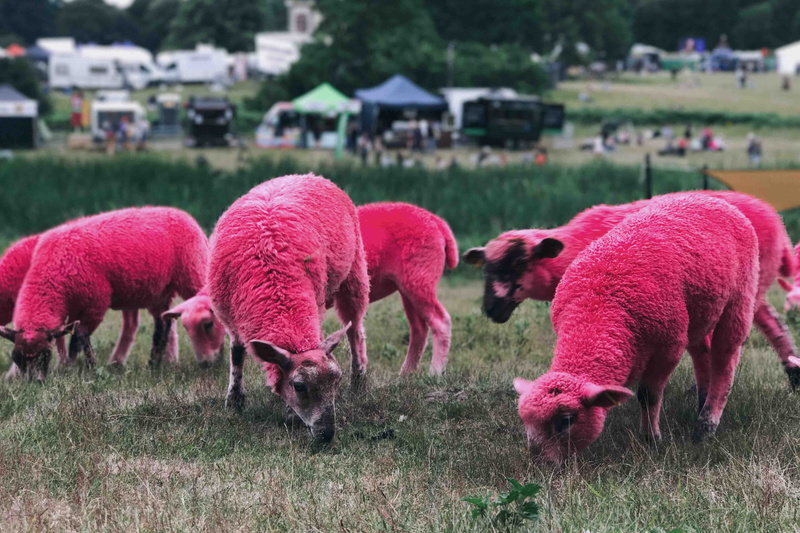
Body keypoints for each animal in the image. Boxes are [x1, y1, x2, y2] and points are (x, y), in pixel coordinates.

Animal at [0, 207, 209, 381]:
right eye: (17, 358)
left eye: (44, 356)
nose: (32, 382)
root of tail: (185, 216)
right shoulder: (73, 307)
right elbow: (69, 336)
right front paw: (68, 366)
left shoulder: (96, 301)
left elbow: (79, 337)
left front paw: (85, 367)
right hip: (159, 291)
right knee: (163, 323)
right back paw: (154, 364)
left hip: (192, 272)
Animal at [207, 174, 369, 442]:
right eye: (299, 386)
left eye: (336, 380)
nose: (326, 434)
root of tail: (309, 174)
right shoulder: (230, 316)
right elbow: (237, 354)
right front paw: (234, 401)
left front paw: (290, 414)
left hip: (355, 271)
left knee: (355, 329)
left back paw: (359, 380)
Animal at [466, 191, 800, 387]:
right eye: (486, 267)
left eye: (520, 262)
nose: (491, 309)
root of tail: (778, 224)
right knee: (774, 324)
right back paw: (793, 374)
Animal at [514, 194, 759, 463]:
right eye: (524, 420)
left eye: (566, 420)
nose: (540, 464)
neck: (597, 309)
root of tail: (709, 197)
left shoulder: (668, 347)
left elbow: (647, 394)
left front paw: (651, 439)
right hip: (699, 313)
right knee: (702, 353)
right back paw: (701, 402)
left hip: (740, 296)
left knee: (725, 359)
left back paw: (705, 426)